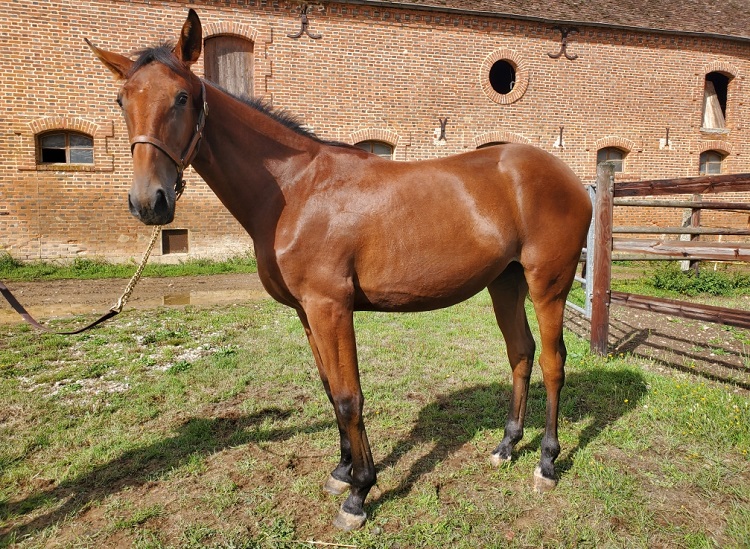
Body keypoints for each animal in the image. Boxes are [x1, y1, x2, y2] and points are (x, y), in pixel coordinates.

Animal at [87, 9, 592, 531]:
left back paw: (546, 463)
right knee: (521, 353)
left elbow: (350, 396)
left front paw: (359, 493)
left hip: (548, 286)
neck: (294, 191)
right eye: (121, 100)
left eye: (182, 97)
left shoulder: (331, 307)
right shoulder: (307, 313)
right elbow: (332, 391)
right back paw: (507, 445)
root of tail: (570, 178)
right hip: (505, 283)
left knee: (553, 363)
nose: (149, 202)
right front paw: (343, 471)